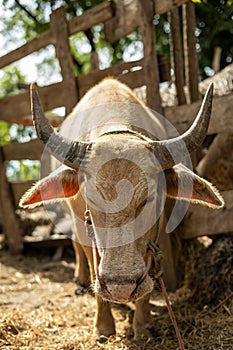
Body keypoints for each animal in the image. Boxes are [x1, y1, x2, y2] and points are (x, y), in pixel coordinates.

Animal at [20, 77, 224, 340]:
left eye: (150, 197)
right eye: (91, 198)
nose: (121, 288)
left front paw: (143, 325)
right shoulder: (82, 223)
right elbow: (92, 263)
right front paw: (104, 326)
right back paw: (80, 280)